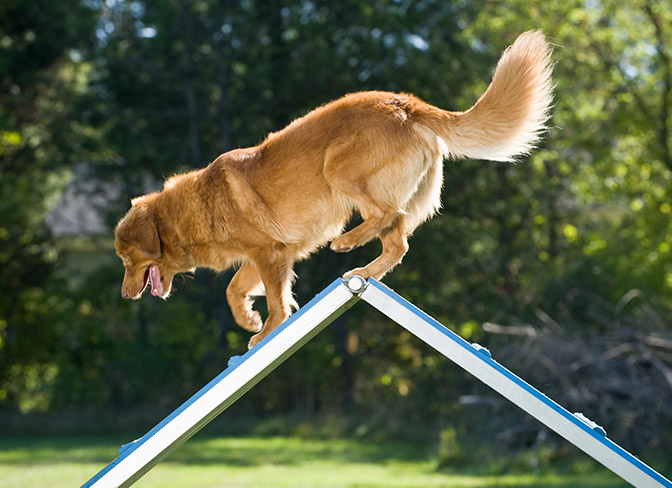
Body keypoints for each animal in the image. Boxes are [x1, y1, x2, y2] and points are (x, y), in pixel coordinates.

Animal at [115, 30, 552, 348]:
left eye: (126, 258)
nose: (124, 296)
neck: (191, 211)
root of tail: (406, 104)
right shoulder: (268, 254)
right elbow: (234, 289)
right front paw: (249, 319)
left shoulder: (269, 254)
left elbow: (274, 300)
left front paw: (267, 329)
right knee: (398, 243)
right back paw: (363, 271)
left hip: (338, 170)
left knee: (386, 214)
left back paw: (347, 242)